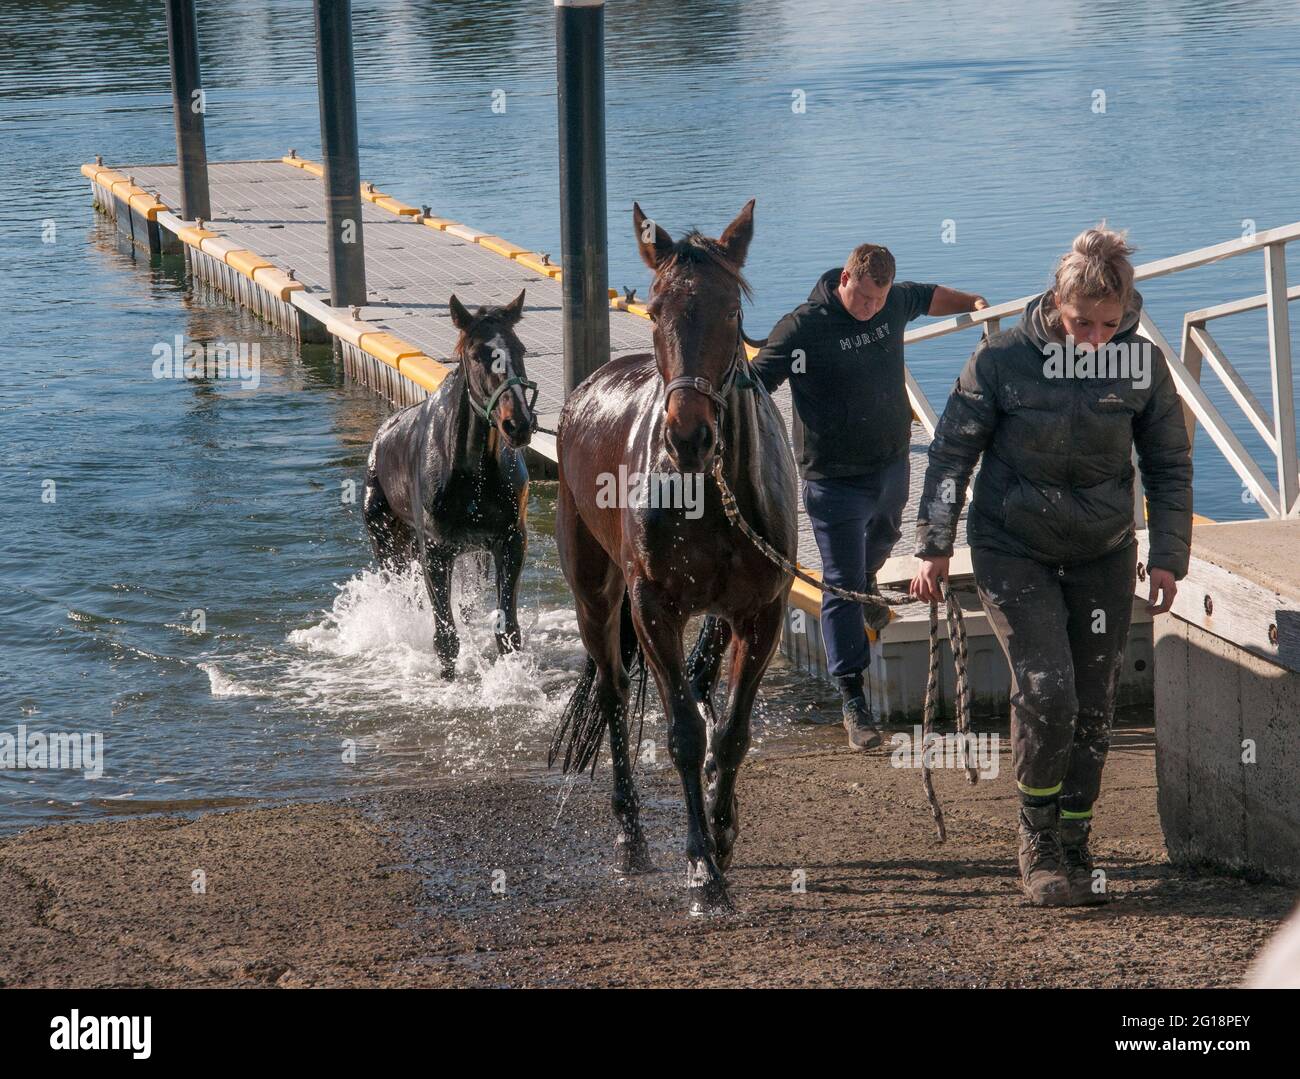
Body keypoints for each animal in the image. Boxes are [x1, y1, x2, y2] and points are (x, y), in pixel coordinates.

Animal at [364, 291, 535, 681]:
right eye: (476, 355)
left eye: (520, 348)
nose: (518, 424)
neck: (474, 474)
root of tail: (381, 438)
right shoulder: (435, 551)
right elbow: (445, 638)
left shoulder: (510, 541)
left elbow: (508, 632)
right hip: (387, 543)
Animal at [551, 200, 795, 915]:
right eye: (656, 308)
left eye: (733, 312)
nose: (689, 436)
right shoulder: (653, 606)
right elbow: (684, 732)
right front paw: (701, 868)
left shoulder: (760, 612)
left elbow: (732, 732)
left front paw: (724, 834)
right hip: (594, 592)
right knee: (610, 693)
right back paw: (630, 836)